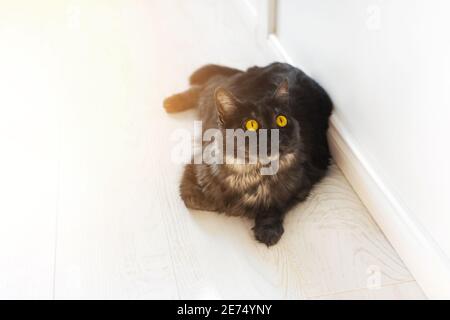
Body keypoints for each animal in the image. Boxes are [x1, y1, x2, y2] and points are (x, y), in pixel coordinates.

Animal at [163, 62, 332, 245]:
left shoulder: (302, 185)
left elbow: (276, 205)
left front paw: (268, 228)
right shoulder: (195, 169)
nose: (273, 135)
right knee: (207, 86)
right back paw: (172, 102)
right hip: (213, 98)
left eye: (281, 120)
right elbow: (203, 200)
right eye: (251, 124)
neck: (253, 172)